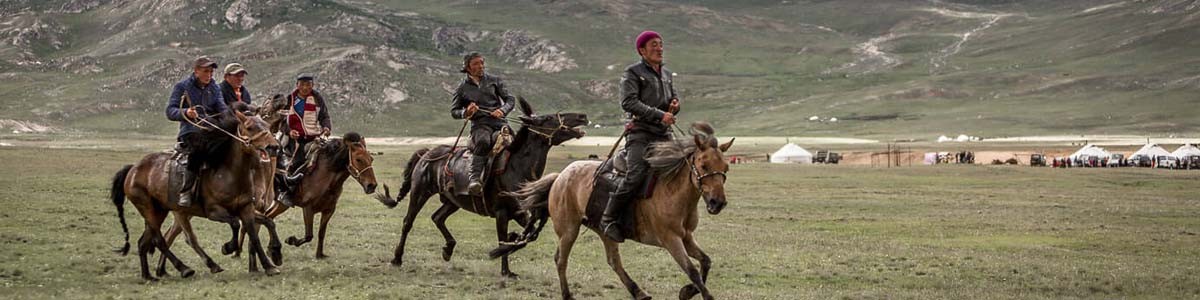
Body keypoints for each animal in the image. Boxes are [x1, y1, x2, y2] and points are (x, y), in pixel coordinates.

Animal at [108, 109, 283, 279]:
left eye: (267, 126)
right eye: (250, 127)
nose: (273, 147)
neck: (228, 173)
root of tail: (132, 169)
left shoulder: (246, 208)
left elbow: (259, 231)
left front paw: (271, 262)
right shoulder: (214, 211)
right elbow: (235, 223)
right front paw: (228, 247)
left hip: (160, 211)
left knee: (145, 242)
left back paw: (148, 275)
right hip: (149, 209)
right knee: (163, 239)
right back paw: (185, 268)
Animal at [369, 97, 585, 276]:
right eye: (548, 118)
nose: (582, 116)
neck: (516, 167)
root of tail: (427, 153)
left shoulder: (519, 212)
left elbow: (529, 235)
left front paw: (512, 241)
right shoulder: (501, 213)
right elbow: (503, 237)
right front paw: (506, 270)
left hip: (452, 201)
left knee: (437, 217)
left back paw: (448, 249)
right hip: (420, 193)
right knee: (408, 222)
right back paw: (397, 258)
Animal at [504, 122, 729, 300]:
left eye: (725, 167)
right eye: (703, 165)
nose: (717, 203)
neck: (672, 192)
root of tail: (560, 177)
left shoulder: (686, 237)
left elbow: (706, 262)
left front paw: (688, 291)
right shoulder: (671, 240)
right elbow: (692, 270)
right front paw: (699, 294)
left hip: (604, 232)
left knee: (613, 261)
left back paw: (638, 292)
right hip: (569, 230)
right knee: (561, 260)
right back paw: (567, 295)